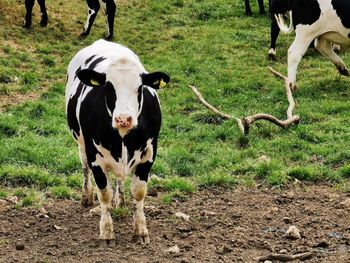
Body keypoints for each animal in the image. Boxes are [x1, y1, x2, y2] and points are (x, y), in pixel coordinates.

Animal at [66, 39, 170, 243]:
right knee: (84, 167)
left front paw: (141, 230)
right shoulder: (95, 155)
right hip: (81, 143)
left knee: (119, 179)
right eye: (108, 87)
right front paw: (106, 232)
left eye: (140, 88)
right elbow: (104, 194)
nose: (123, 119)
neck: (123, 136)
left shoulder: (150, 152)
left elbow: (139, 191)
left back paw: (120, 201)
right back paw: (86, 196)